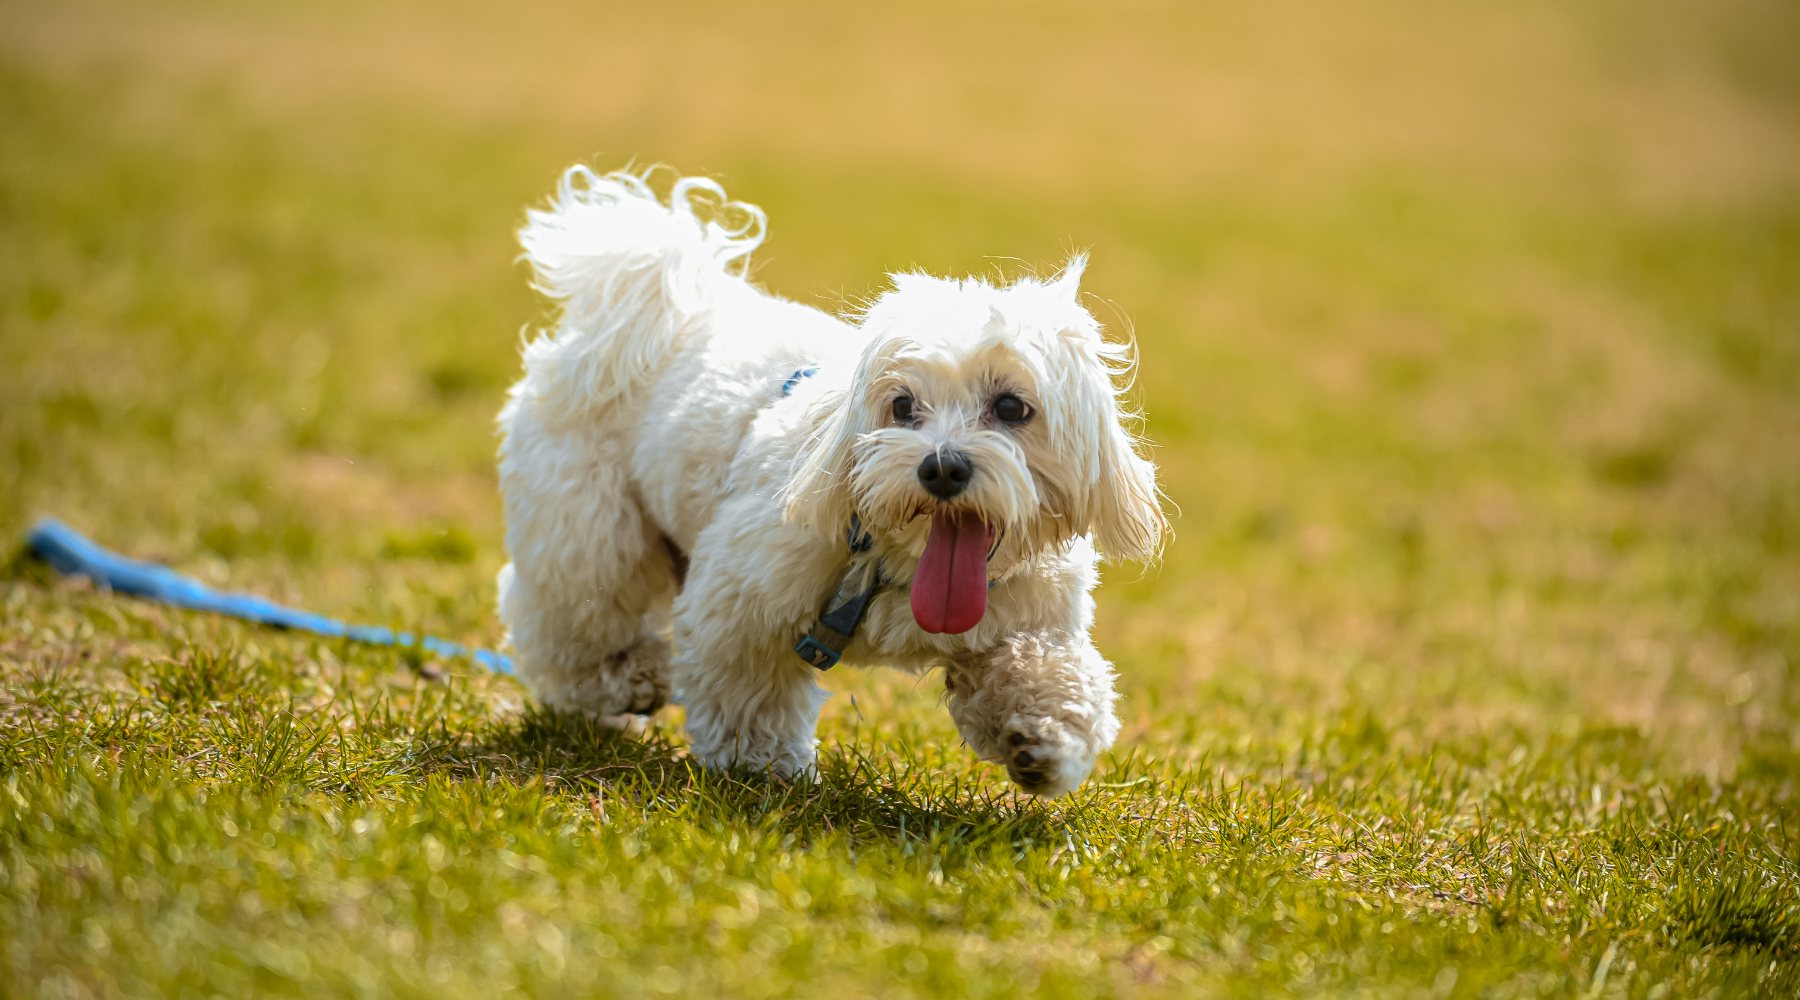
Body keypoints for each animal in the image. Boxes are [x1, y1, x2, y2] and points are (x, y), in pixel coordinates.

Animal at [496, 166, 1166, 798]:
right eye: (901, 406)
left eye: (1010, 407)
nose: (941, 466)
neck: (896, 563)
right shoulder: (741, 597)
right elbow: (748, 688)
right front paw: (759, 766)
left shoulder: (1029, 617)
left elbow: (1048, 670)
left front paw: (1044, 737)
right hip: (588, 527)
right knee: (573, 614)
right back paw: (627, 678)